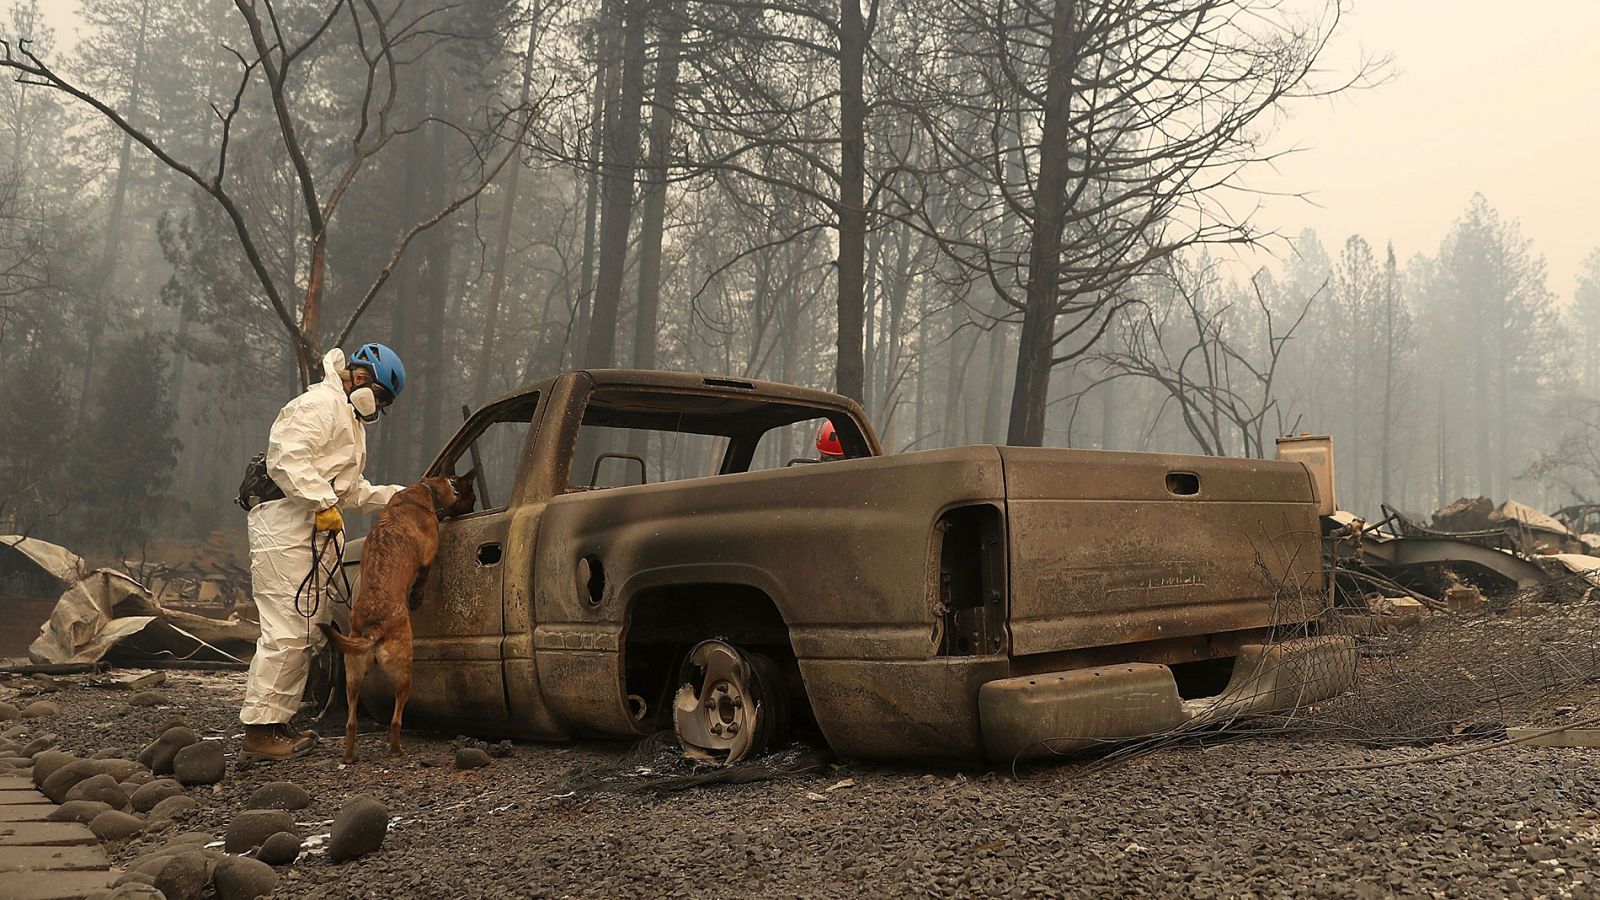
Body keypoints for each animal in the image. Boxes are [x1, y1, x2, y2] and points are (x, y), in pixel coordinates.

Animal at [318, 470, 473, 755]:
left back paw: (350, 754)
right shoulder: (428, 554)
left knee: (351, 722)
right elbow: (423, 575)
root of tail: (373, 628)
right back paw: (396, 749)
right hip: (403, 674)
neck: (426, 492)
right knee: (396, 719)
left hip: (352, 679)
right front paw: (417, 597)